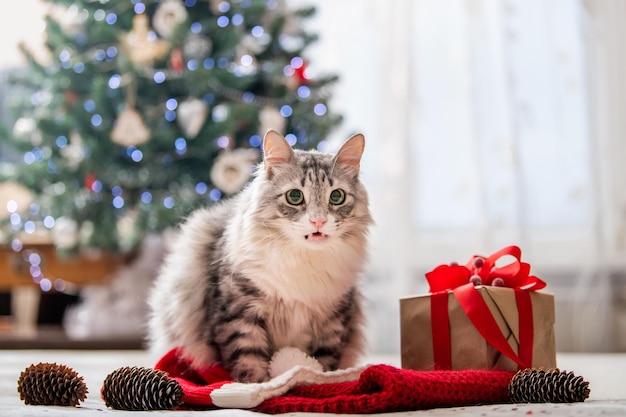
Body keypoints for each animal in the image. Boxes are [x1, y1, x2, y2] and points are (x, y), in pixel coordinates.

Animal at [147, 129, 370, 380]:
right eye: (295, 196)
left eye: (336, 197)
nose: (318, 221)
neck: (303, 260)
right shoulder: (239, 314)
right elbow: (247, 362)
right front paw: (263, 386)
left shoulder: (333, 320)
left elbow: (324, 363)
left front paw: (315, 379)